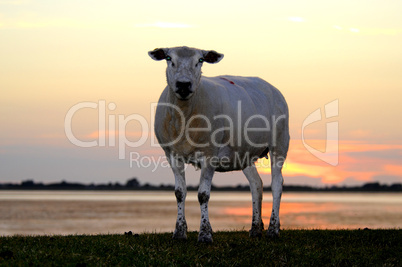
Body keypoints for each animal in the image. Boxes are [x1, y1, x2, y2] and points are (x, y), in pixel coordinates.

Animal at [148, 47, 288, 244]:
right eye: (169, 58)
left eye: (200, 60)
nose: (183, 85)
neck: (184, 116)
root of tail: (270, 86)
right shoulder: (172, 155)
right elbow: (179, 193)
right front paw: (179, 232)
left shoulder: (209, 154)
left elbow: (203, 195)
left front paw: (205, 234)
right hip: (244, 152)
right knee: (256, 184)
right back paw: (255, 228)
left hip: (280, 142)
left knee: (277, 184)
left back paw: (273, 229)